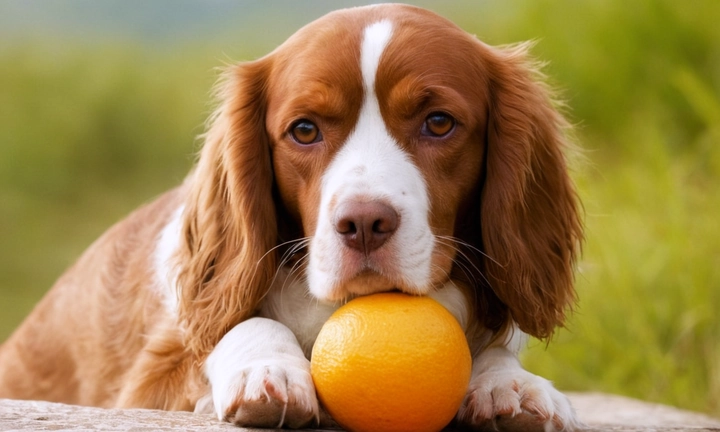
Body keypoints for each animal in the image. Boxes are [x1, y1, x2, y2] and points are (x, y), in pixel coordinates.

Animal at [0, 4, 584, 432]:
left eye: (439, 122)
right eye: (304, 130)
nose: (364, 224)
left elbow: (496, 354)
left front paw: (510, 384)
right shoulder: (152, 376)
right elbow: (243, 324)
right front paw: (267, 370)